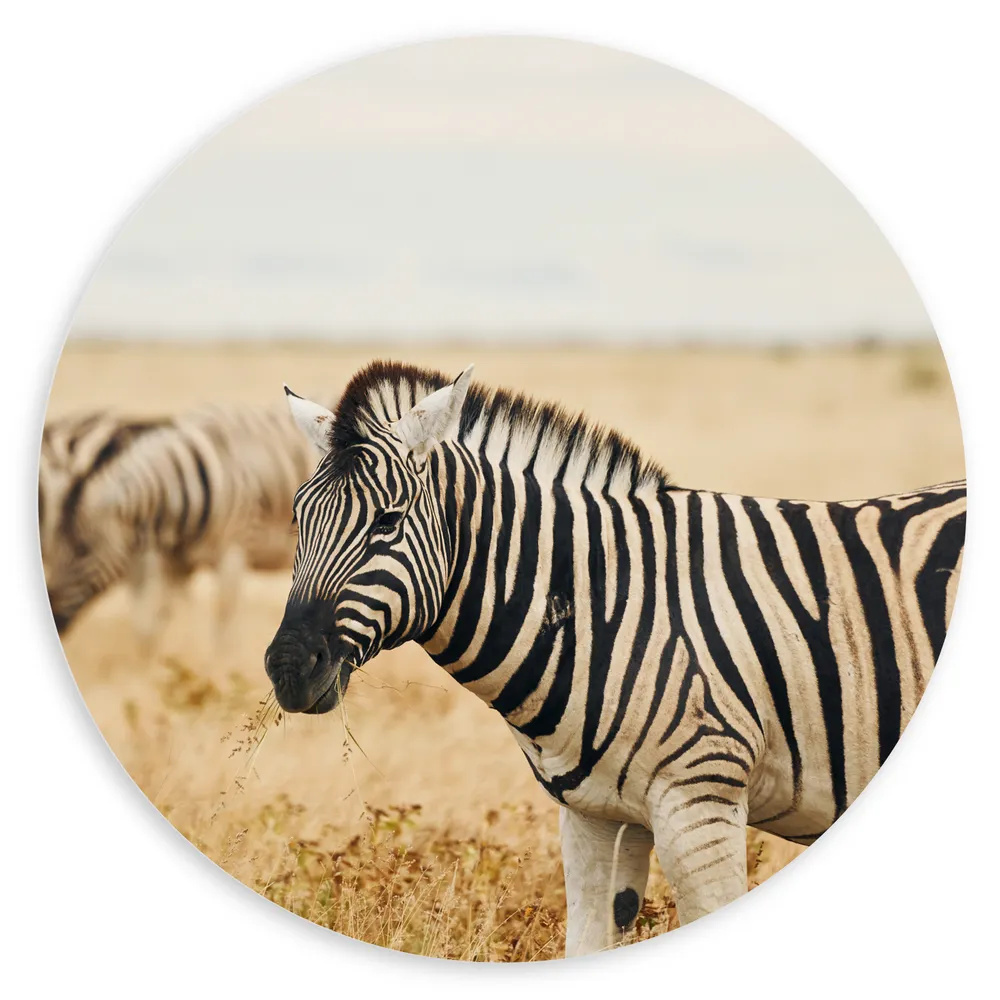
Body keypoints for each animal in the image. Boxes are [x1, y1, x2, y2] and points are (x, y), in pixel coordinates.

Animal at [42, 402, 326, 651]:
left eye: (82, 549)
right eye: (56, 546)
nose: (53, 617)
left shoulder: (232, 550)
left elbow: (222, 616)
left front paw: (220, 665)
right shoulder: (178, 562)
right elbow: (168, 613)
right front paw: (172, 661)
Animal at [263, 360, 965, 957]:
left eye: (387, 521)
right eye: (297, 519)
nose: (288, 668)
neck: (608, 604)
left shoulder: (701, 799)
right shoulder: (594, 816)